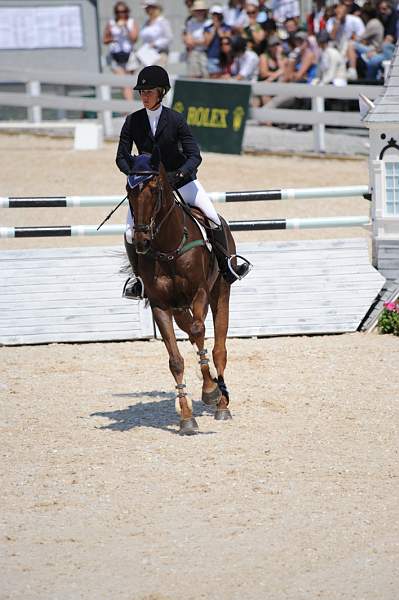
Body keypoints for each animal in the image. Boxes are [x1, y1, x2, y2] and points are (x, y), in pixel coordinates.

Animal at [123, 147, 239, 434]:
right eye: (129, 191)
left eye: (154, 190)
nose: (142, 241)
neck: (168, 246)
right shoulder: (160, 305)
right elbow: (175, 360)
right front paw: (186, 418)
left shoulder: (199, 292)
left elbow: (199, 332)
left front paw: (209, 391)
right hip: (177, 306)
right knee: (191, 329)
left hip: (220, 292)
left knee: (218, 347)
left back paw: (222, 403)